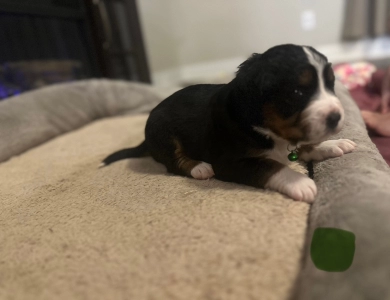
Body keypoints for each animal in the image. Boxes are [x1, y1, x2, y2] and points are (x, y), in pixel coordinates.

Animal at [101, 44, 356, 204]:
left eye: (331, 84)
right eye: (297, 92)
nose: (336, 117)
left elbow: (303, 145)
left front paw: (332, 145)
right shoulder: (230, 163)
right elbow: (270, 166)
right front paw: (300, 182)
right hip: (164, 133)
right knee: (174, 161)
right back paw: (199, 167)